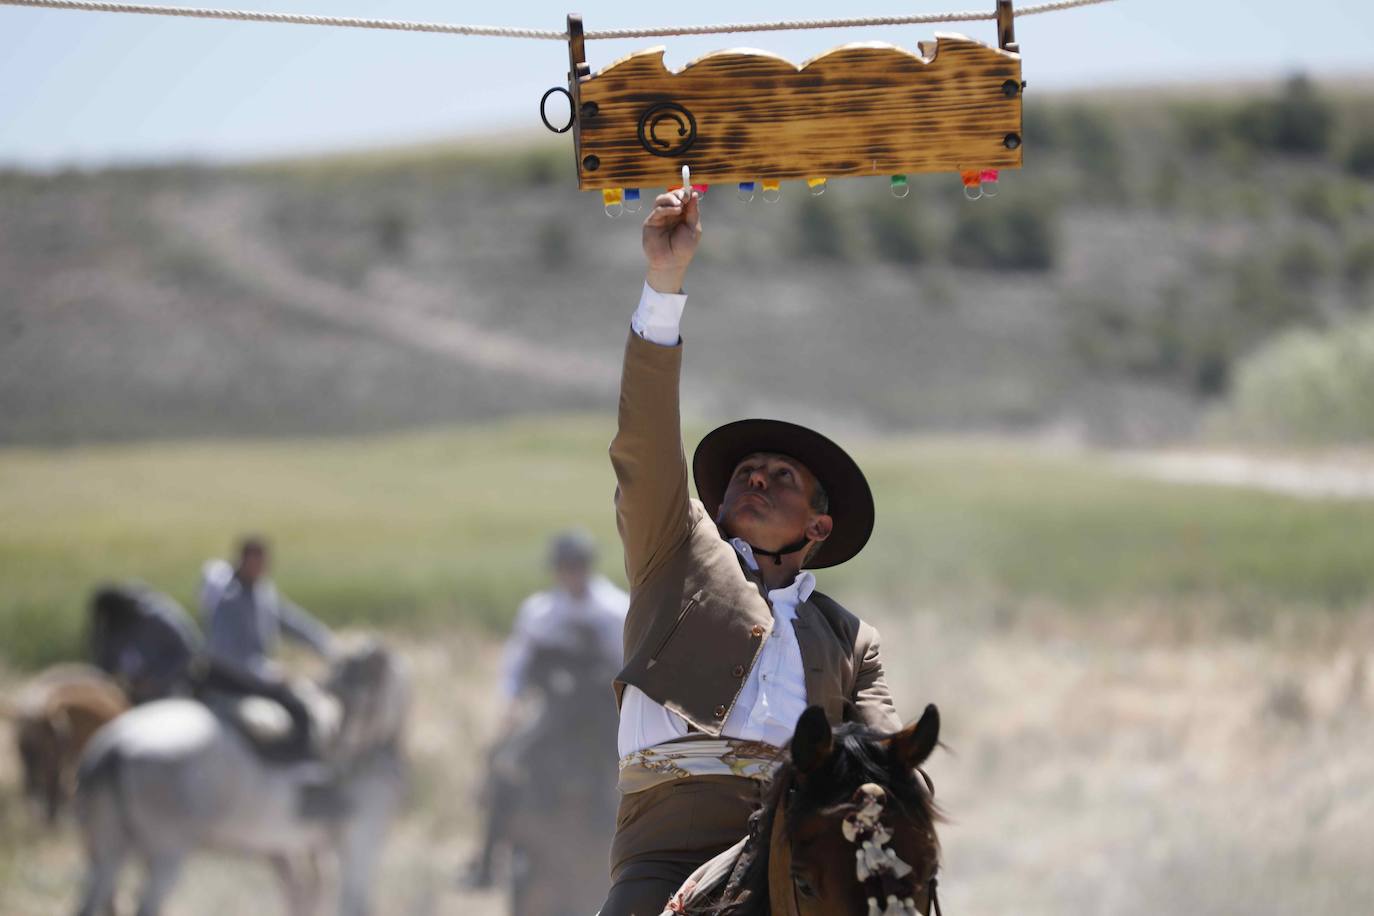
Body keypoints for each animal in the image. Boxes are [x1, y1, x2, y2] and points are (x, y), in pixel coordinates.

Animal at [73, 637, 406, 916]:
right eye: (340, 691)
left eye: (359, 692)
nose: (335, 757)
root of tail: (114, 746)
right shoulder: (360, 838)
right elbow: (352, 901)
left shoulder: (305, 848)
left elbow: (308, 893)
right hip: (166, 852)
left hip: (107, 849)